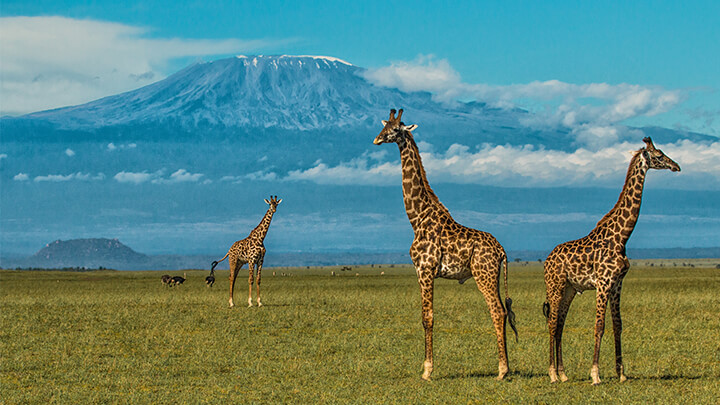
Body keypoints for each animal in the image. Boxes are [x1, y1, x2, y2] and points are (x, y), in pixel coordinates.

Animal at [372, 107, 516, 378]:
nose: (376, 139)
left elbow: (427, 317)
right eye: (384, 126)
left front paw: (427, 370)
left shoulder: (425, 269)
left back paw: (502, 370)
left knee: (497, 310)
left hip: (484, 275)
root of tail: (502, 251)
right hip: (493, 276)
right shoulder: (422, 271)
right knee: (503, 311)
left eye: (395, 129)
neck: (417, 217)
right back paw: (506, 367)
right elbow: (426, 316)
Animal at [544, 137, 680, 384]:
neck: (621, 236)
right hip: (555, 286)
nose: (677, 166)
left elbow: (618, 325)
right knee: (552, 323)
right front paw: (595, 374)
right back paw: (552, 374)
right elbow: (599, 325)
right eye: (659, 155)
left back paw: (564, 373)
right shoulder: (603, 283)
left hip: (569, 289)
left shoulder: (617, 284)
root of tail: (547, 259)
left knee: (560, 324)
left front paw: (621, 373)